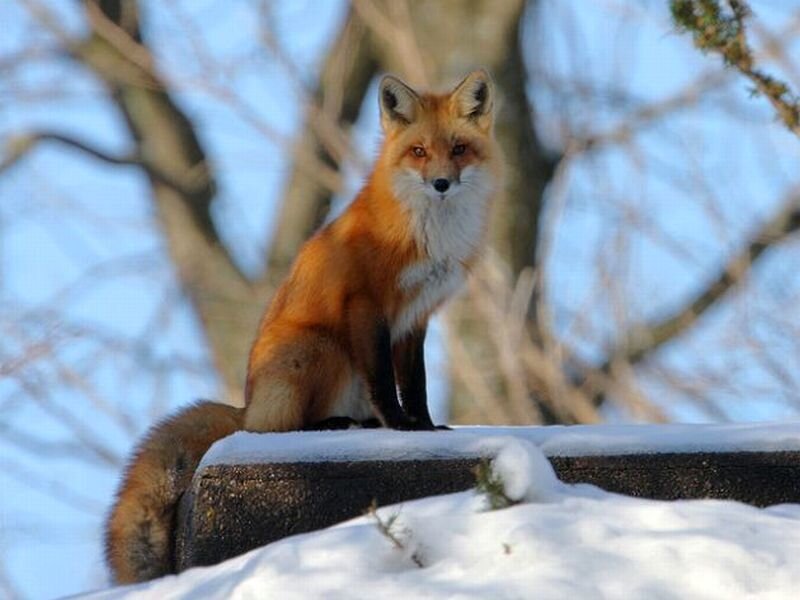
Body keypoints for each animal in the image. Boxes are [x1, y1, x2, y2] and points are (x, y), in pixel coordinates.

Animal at [105, 69, 501, 584]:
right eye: (418, 151)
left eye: (458, 149)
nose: (440, 183)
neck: (427, 233)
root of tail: (246, 407)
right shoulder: (366, 304)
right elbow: (384, 381)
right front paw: (400, 428)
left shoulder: (416, 317)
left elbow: (415, 384)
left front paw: (426, 428)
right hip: (319, 347)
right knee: (275, 428)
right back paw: (330, 424)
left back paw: (358, 423)